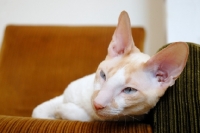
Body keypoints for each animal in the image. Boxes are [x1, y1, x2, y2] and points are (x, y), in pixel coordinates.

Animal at [31, 11, 189, 121]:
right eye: (103, 75)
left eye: (129, 90)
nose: (97, 103)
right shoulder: (65, 95)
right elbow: (37, 111)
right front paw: (55, 112)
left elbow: (86, 117)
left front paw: (63, 111)